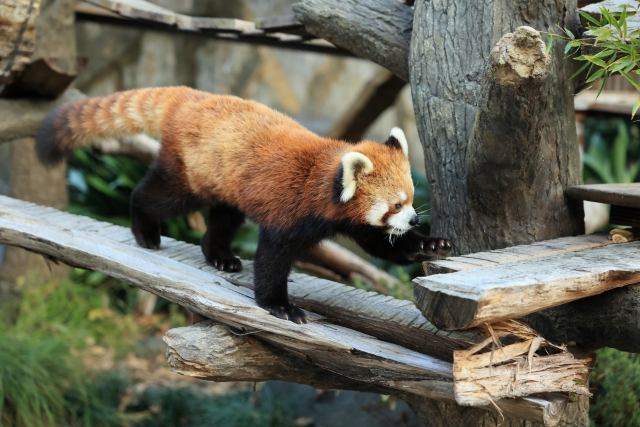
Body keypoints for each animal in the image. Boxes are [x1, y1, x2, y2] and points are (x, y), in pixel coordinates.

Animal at [36, 87, 450, 322]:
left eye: (410, 200)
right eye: (395, 205)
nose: (414, 220)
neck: (322, 180)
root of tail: (192, 96)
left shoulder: (349, 220)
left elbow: (381, 245)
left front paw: (430, 244)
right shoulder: (290, 210)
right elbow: (271, 259)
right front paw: (280, 305)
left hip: (227, 181)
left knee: (223, 217)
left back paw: (219, 254)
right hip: (193, 172)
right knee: (159, 196)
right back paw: (145, 230)